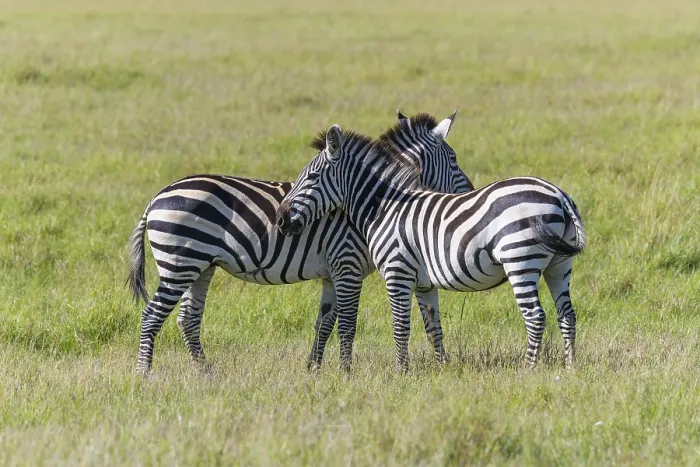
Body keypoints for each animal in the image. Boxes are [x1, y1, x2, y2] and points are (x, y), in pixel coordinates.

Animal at [127, 111, 474, 374]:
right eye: (454, 159)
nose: (469, 192)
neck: (374, 200)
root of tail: (156, 198)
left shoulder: (333, 274)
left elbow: (325, 323)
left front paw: (314, 369)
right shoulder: (347, 265)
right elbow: (348, 323)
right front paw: (345, 373)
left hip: (201, 266)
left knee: (187, 318)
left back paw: (205, 372)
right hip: (179, 264)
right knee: (152, 315)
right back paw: (144, 373)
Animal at [276, 124, 586, 372]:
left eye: (311, 178)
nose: (280, 219)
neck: (386, 208)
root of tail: (559, 195)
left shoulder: (397, 273)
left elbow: (400, 327)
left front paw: (401, 373)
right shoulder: (424, 284)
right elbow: (433, 329)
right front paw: (440, 371)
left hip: (520, 260)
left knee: (535, 317)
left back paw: (528, 369)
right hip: (559, 265)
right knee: (567, 315)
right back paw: (570, 368)